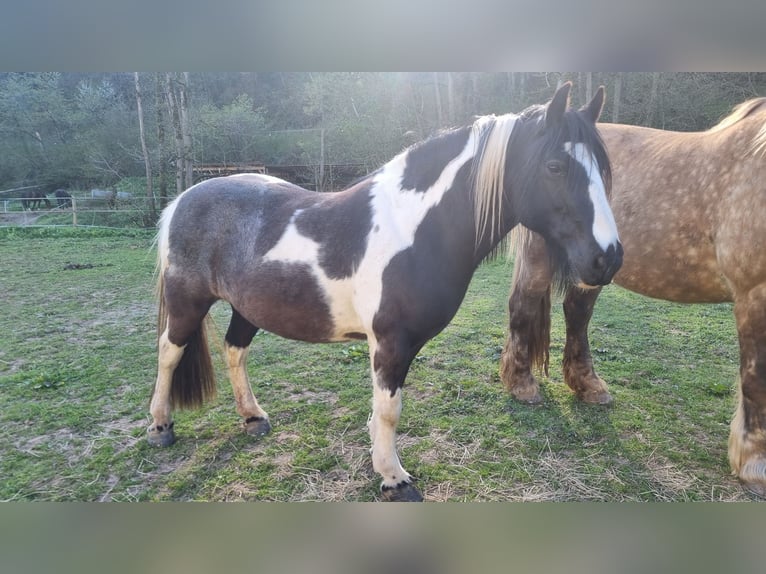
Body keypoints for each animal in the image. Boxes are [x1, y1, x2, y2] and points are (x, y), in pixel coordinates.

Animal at [148, 82, 623, 501]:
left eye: (603, 169)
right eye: (555, 166)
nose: (609, 257)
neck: (412, 231)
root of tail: (182, 200)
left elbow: (380, 411)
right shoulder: (391, 343)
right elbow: (390, 411)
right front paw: (394, 479)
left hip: (247, 308)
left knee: (234, 351)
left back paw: (253, 417)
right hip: (187, 303)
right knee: (169, 352)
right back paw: (160, 428)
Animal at [500, 97, 766, 497]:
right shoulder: (753, 293)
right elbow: (755, 378)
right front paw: (754, 464)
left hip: (593, 264)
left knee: (576, 312)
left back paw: (588, 385)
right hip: (542, 256)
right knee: (524, 307)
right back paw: (521, 385)